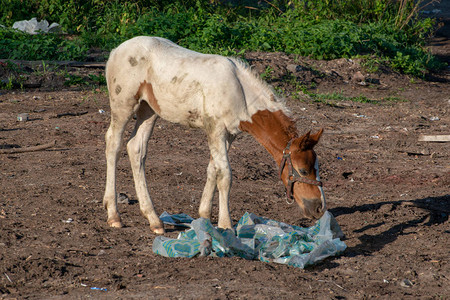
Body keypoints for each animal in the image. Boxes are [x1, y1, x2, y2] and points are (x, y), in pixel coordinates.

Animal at [103, 37, 326, 234]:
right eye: (303, 170)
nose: (319, 208)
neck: (240, 93)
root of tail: (115, 50)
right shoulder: (216, 130)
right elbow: (225, 175)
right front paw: (226, 224)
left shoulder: (228, 135)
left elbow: (213, 169)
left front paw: (204, 216)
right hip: (123, 106)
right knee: (113, 144)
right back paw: (114, 215)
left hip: (148, 110)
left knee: (136, 148)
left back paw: (154, 220)